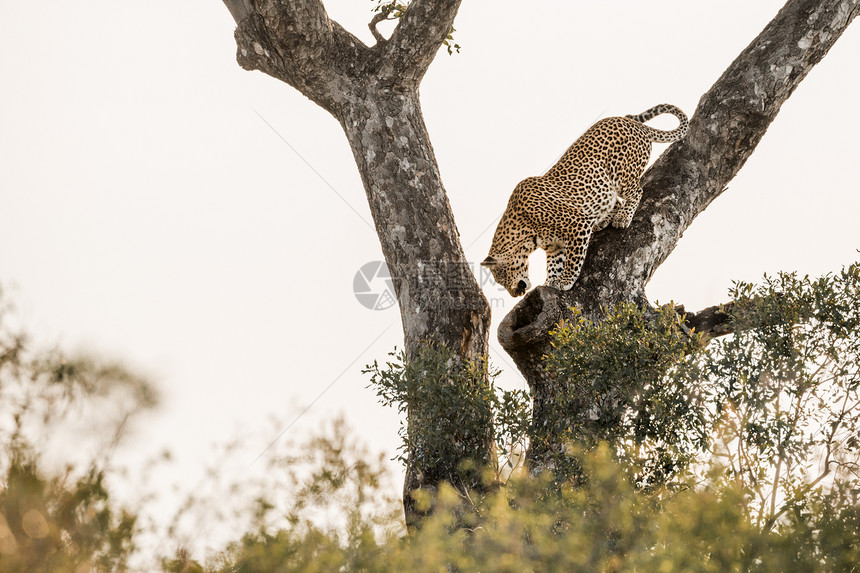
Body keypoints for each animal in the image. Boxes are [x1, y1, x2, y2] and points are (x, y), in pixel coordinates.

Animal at [480, 103, 688, 298]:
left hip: (621, 174)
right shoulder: (554, 246)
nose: (515, 294)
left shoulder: (577, 225)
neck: (525, 233)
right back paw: (605, 220)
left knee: (636, 191)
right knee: (614, 201)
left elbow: (573, 260)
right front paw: (551, 281)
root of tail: (634, 124)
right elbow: (554, 264)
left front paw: (565, 281)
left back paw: (623, 218)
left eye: (501, 277)